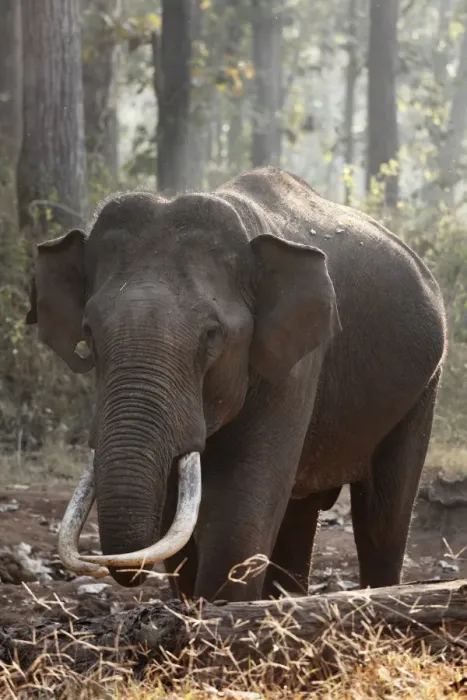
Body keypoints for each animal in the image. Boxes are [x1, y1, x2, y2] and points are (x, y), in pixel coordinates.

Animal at [25, 166, 447, 602]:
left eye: (212, 335)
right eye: (89, 333)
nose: (108, 564)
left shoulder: (296, 365)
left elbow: (236, 516)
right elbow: (180, 516)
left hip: (423, 389)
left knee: (384, 517)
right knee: (299, 515)